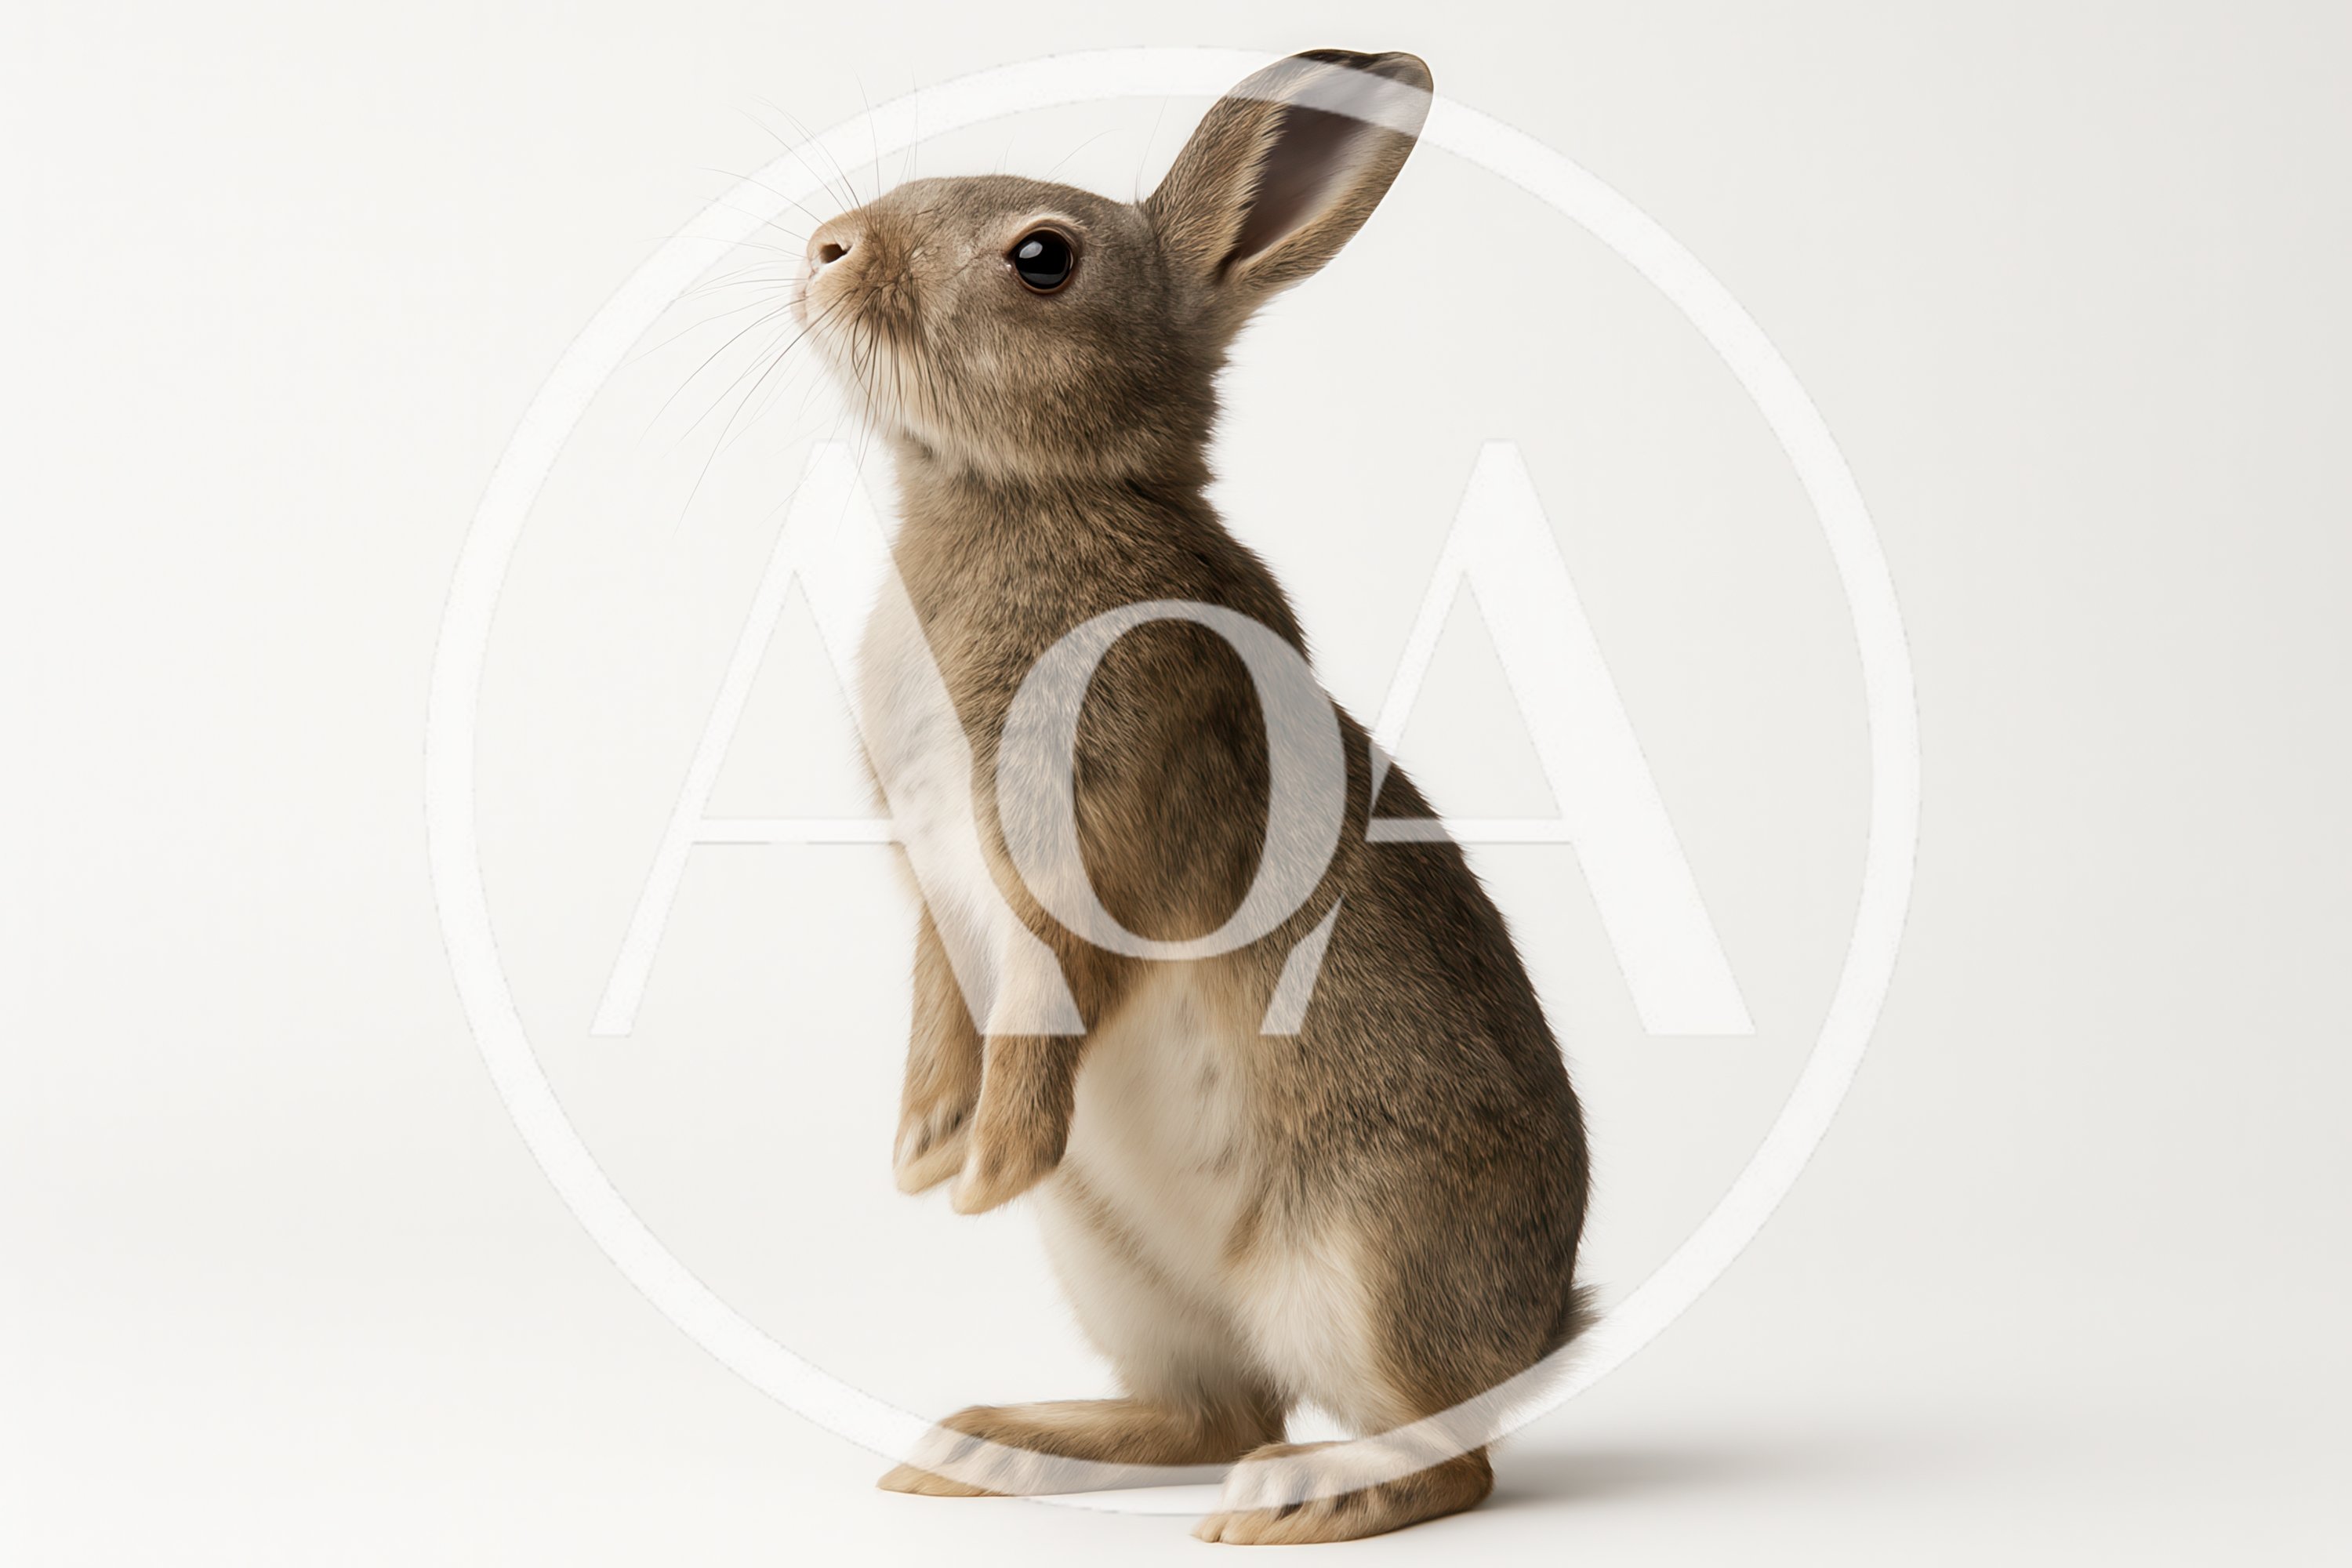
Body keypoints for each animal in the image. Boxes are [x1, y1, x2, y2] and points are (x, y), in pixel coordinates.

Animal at [794, 49, 1592, 1544]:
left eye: (1043, 258)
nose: (827, 249)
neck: (1028, 495)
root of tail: (1542, 1332)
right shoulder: (941, 887)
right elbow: (943, 999)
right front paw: (925, 1151)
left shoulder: (1100, 840)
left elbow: (1055, 996)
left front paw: (986, 1167)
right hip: (1117, 1264)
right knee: (1213, 1409)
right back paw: (988, 1447)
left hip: (1362, 1254)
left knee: (1441, 1458)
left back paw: (1302, 1498)